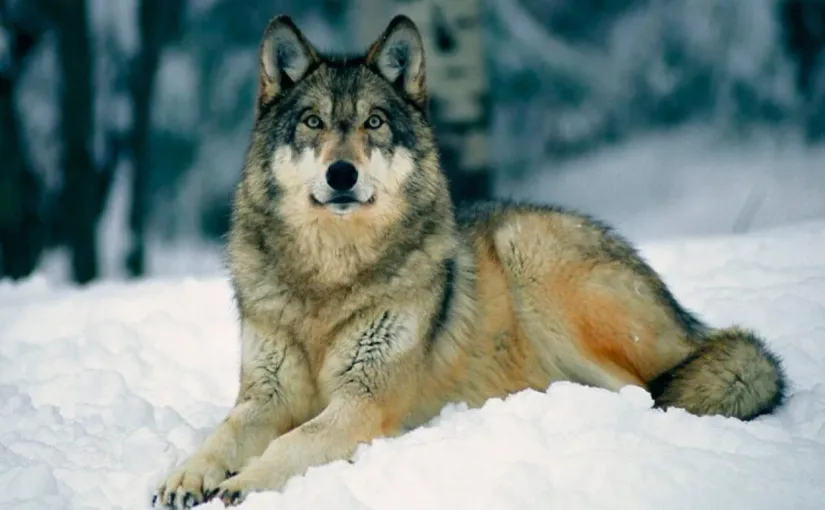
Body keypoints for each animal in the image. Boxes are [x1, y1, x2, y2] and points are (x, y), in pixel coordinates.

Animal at [153, 14, 787, 509]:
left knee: (644, 393)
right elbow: (220, 436)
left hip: (533, 259)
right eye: (313, 122)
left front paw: (242, 483)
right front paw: (185, 476)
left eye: (373, 123)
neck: (330, 276)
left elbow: (289, 444)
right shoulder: (266, 397)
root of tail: (690, 324)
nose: (342, 173)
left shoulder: (363, 402)